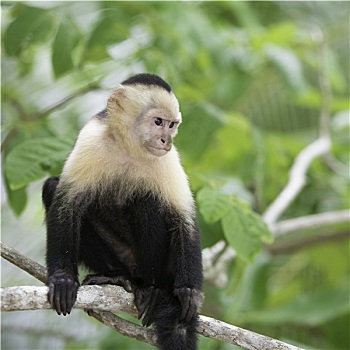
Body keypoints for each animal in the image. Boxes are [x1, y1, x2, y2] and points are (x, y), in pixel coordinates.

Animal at [42, 73, 204, 350]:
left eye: (172, 125)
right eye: (158, 122)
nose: (167, 140)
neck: (130, 149)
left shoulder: (168, 159)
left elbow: (183, 218)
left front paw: (189, 291)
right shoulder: (90, 139)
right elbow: (66, 203)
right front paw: (63, 279)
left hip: (166, 268)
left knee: (147, 201)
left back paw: (153, 289)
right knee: (52, 188)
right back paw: (115, 277)